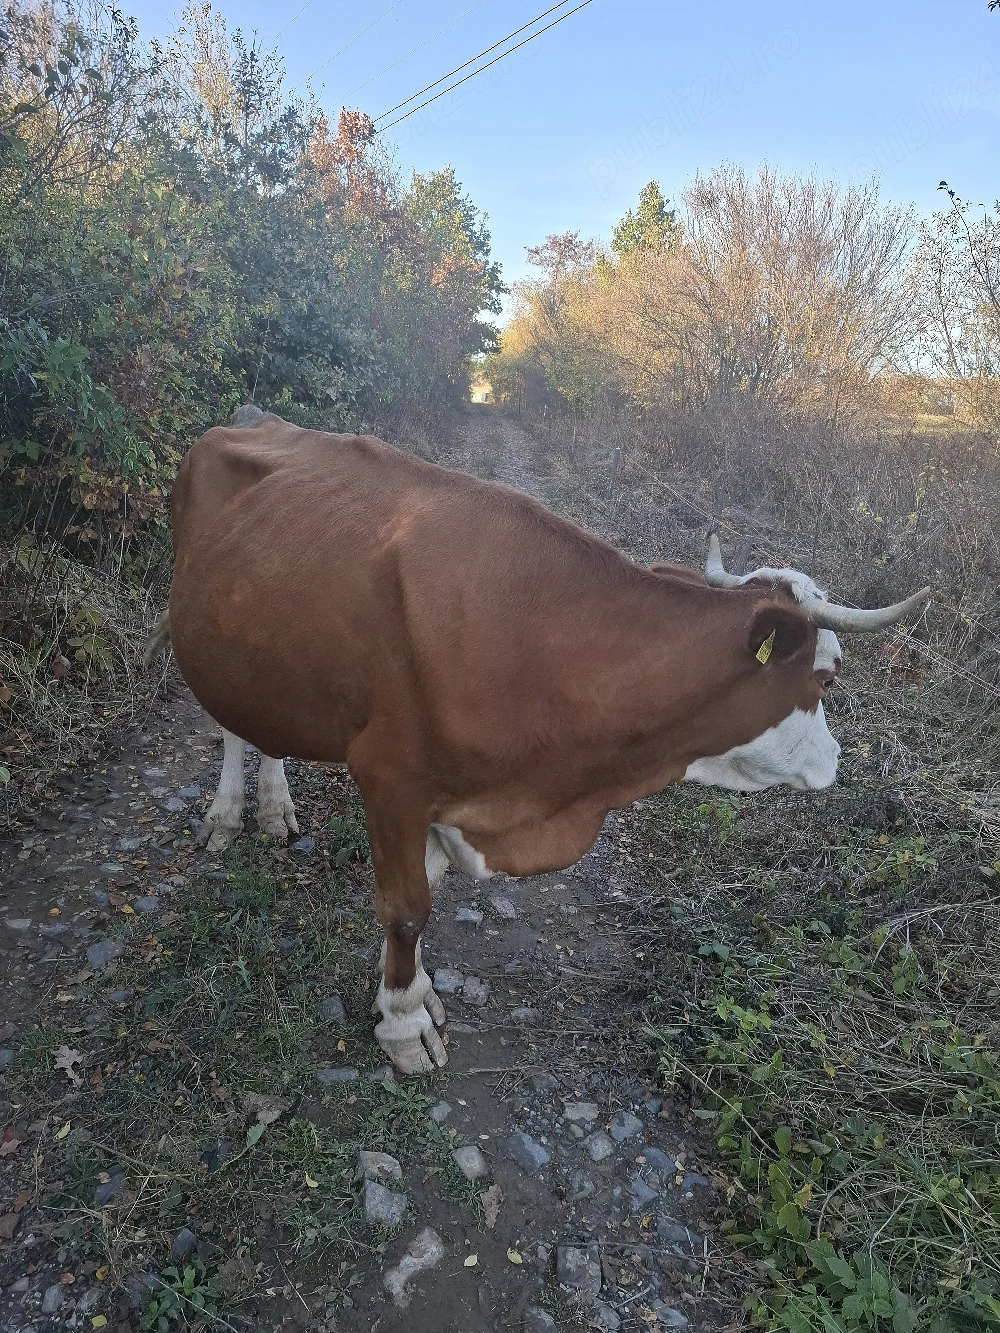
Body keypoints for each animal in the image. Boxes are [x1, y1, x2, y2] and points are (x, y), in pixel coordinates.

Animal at [149, 407, 930, 1074]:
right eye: (826, 677)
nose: (836, 762)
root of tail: (251, 419)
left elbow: (423, 892)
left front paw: (408, 990)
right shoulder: (390, 775)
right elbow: (406, 909)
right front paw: (404, 1026)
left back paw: (275, 804)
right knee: (228, 725)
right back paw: (227, 813)